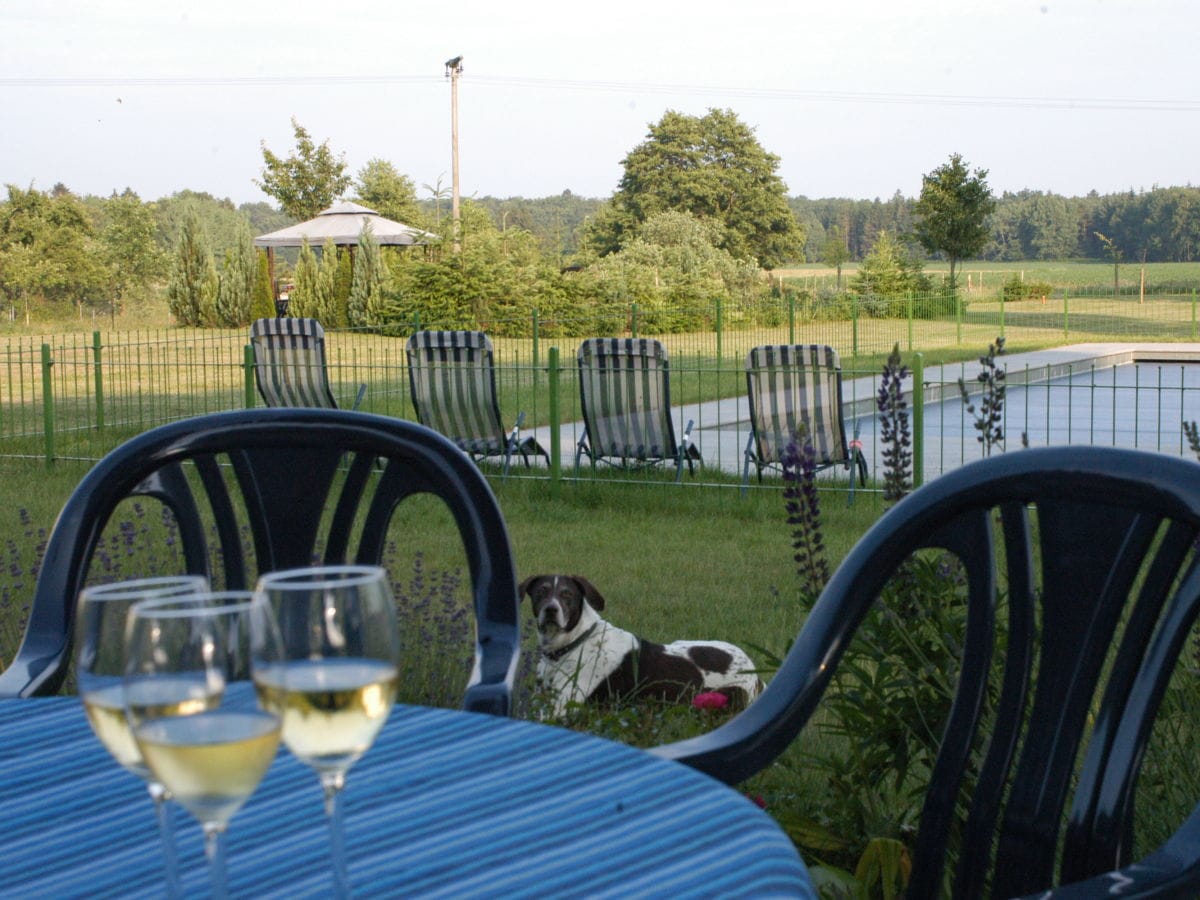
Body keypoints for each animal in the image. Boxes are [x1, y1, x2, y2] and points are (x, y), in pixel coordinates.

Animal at [520, 578, 763, 720]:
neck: (574, 641)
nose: (551, 610)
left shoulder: (561, 707)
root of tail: (757, 676)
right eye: (541, 592)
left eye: (567, 594)